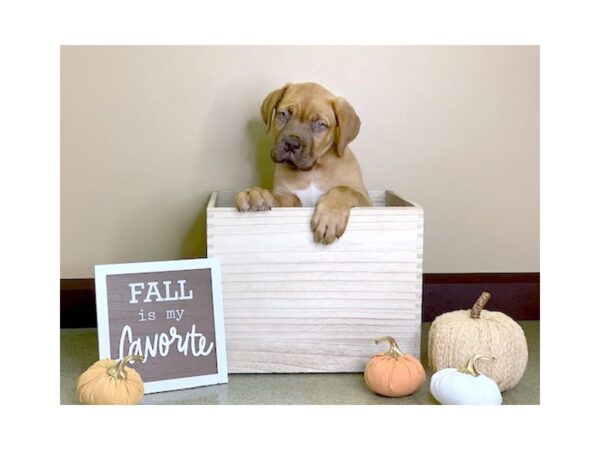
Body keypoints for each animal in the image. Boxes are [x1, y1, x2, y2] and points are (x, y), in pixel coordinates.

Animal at [236, 81, 370, 243]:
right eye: (283, 114)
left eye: (320, 124)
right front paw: (256, 193)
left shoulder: (366, 200)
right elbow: (277, 199)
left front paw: (330, 216)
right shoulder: (291, 200)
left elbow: (344, 190)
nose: (291, 144)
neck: (313, 170)